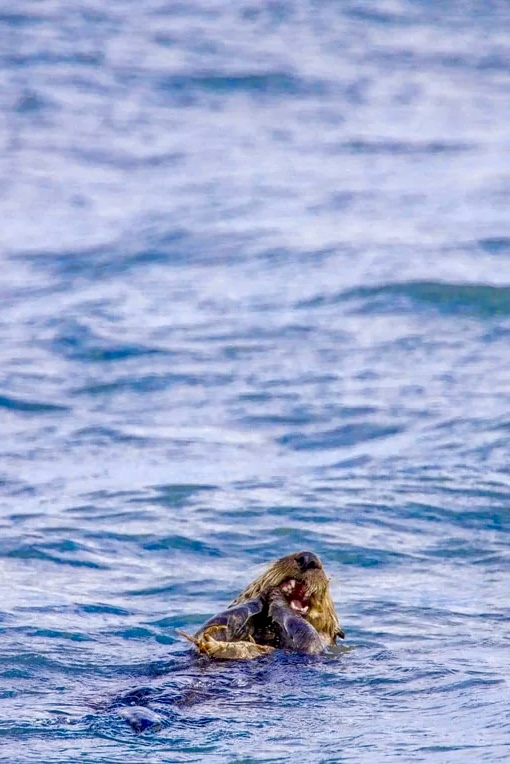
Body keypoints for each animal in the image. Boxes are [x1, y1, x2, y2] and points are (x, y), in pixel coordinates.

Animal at [179, 550, 343, 659]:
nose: (308, 558)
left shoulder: (314, 649)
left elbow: (309, 639)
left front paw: (275, 596)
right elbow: (211, 628)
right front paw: (263, 592)